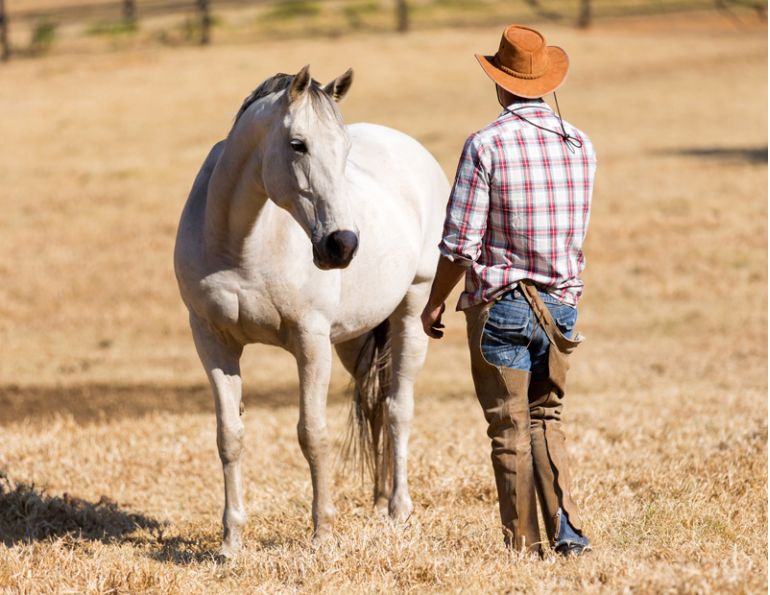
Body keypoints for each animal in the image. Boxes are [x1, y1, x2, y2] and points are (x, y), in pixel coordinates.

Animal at [173, 65, 449, 556]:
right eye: (297, 144)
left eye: (345, 148)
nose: (343, 245)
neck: (240, 245)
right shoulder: (212, 341)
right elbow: (230, 436)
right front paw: (231, 541)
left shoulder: (310, 342)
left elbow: (312, 434)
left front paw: (322, 533)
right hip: (354, 340)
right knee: (375, 407)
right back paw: (378, 500)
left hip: (411, 315)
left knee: (398, 408)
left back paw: (398, 508)